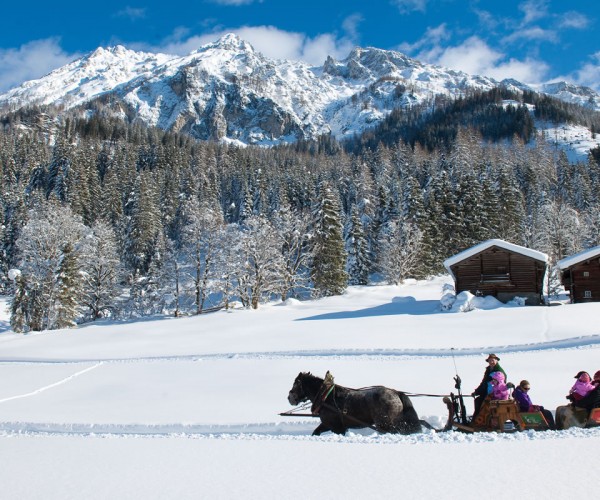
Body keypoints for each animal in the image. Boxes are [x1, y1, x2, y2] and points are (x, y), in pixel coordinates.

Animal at [286, 370, 422, 436]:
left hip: (385, 424)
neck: (326, 397)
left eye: (296, 383)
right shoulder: (328, 425)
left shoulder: (337, 428)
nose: (289, 397)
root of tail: (396, 393)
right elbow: (315, 432)